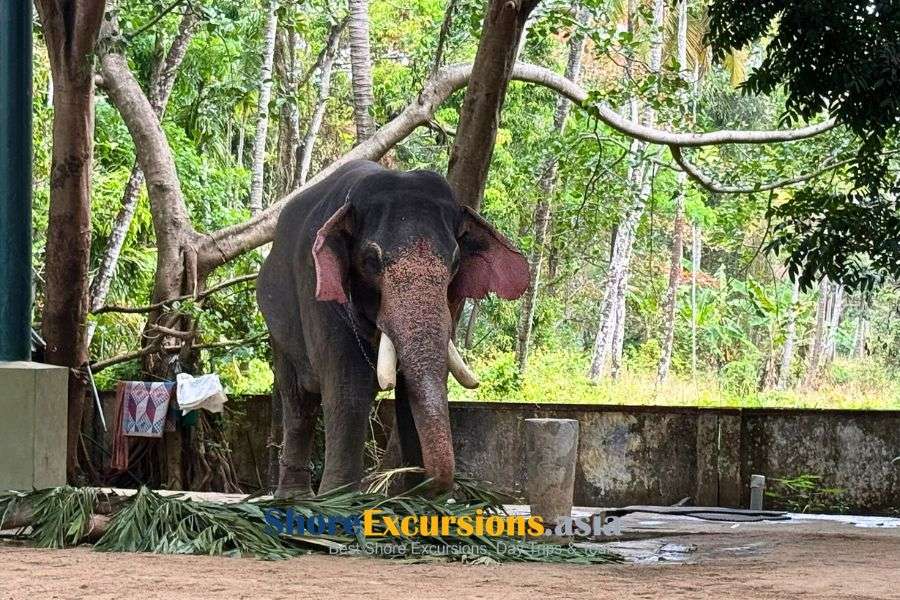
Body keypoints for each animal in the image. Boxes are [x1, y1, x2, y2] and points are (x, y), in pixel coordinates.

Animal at [257, 159, 529, 496]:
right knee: (298, 401)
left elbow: (413, 391)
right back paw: (294, 498)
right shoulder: (318, 291)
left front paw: (414, 500)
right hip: (277, 327)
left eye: (455, 262)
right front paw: (339, 501)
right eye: (371, 260)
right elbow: (349, 388)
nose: (426, 479)